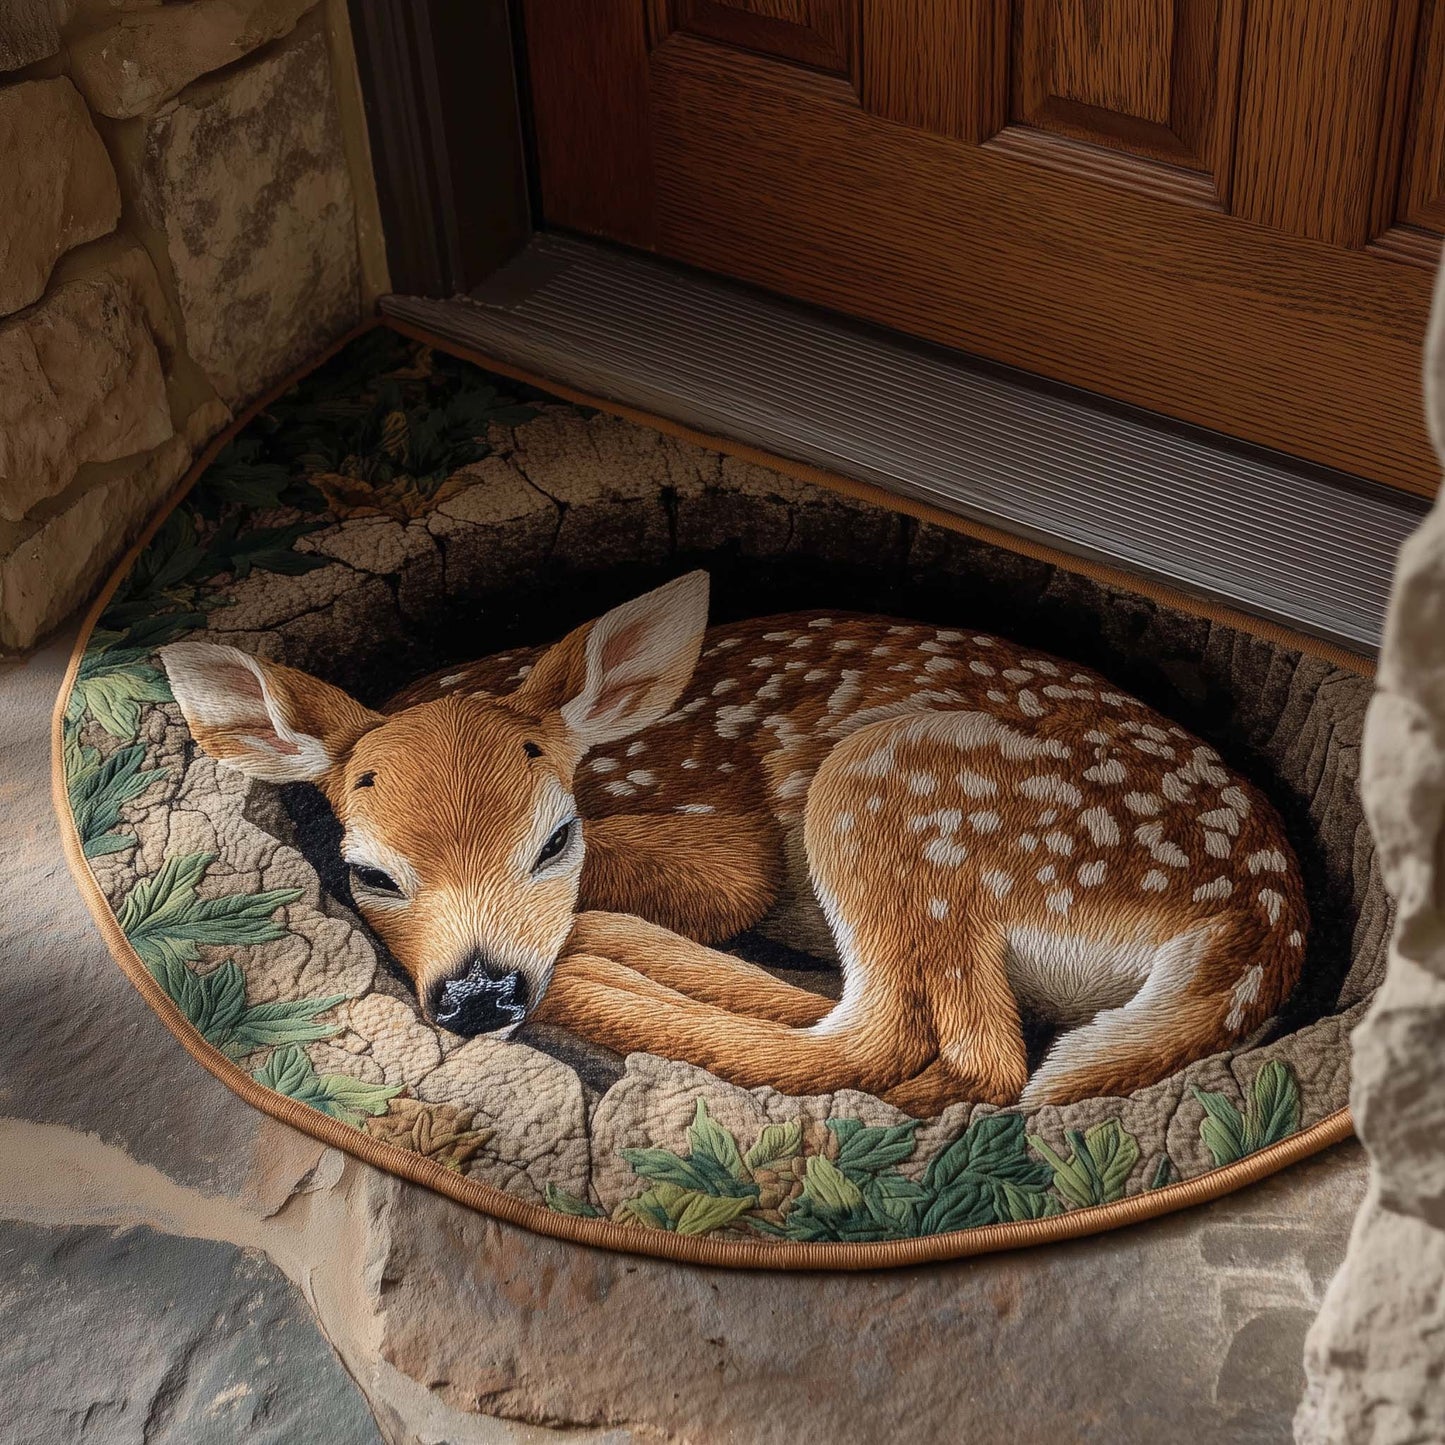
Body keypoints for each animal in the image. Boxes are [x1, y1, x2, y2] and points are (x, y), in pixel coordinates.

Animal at [158, 570, 1308, 1116]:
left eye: (555, 838)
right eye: (368, 871)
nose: (480, 993)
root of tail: (1256, 920)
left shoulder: (733, 838)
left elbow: (723, 885)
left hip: (898, 783)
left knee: (930, 1047)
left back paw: (602, 974)